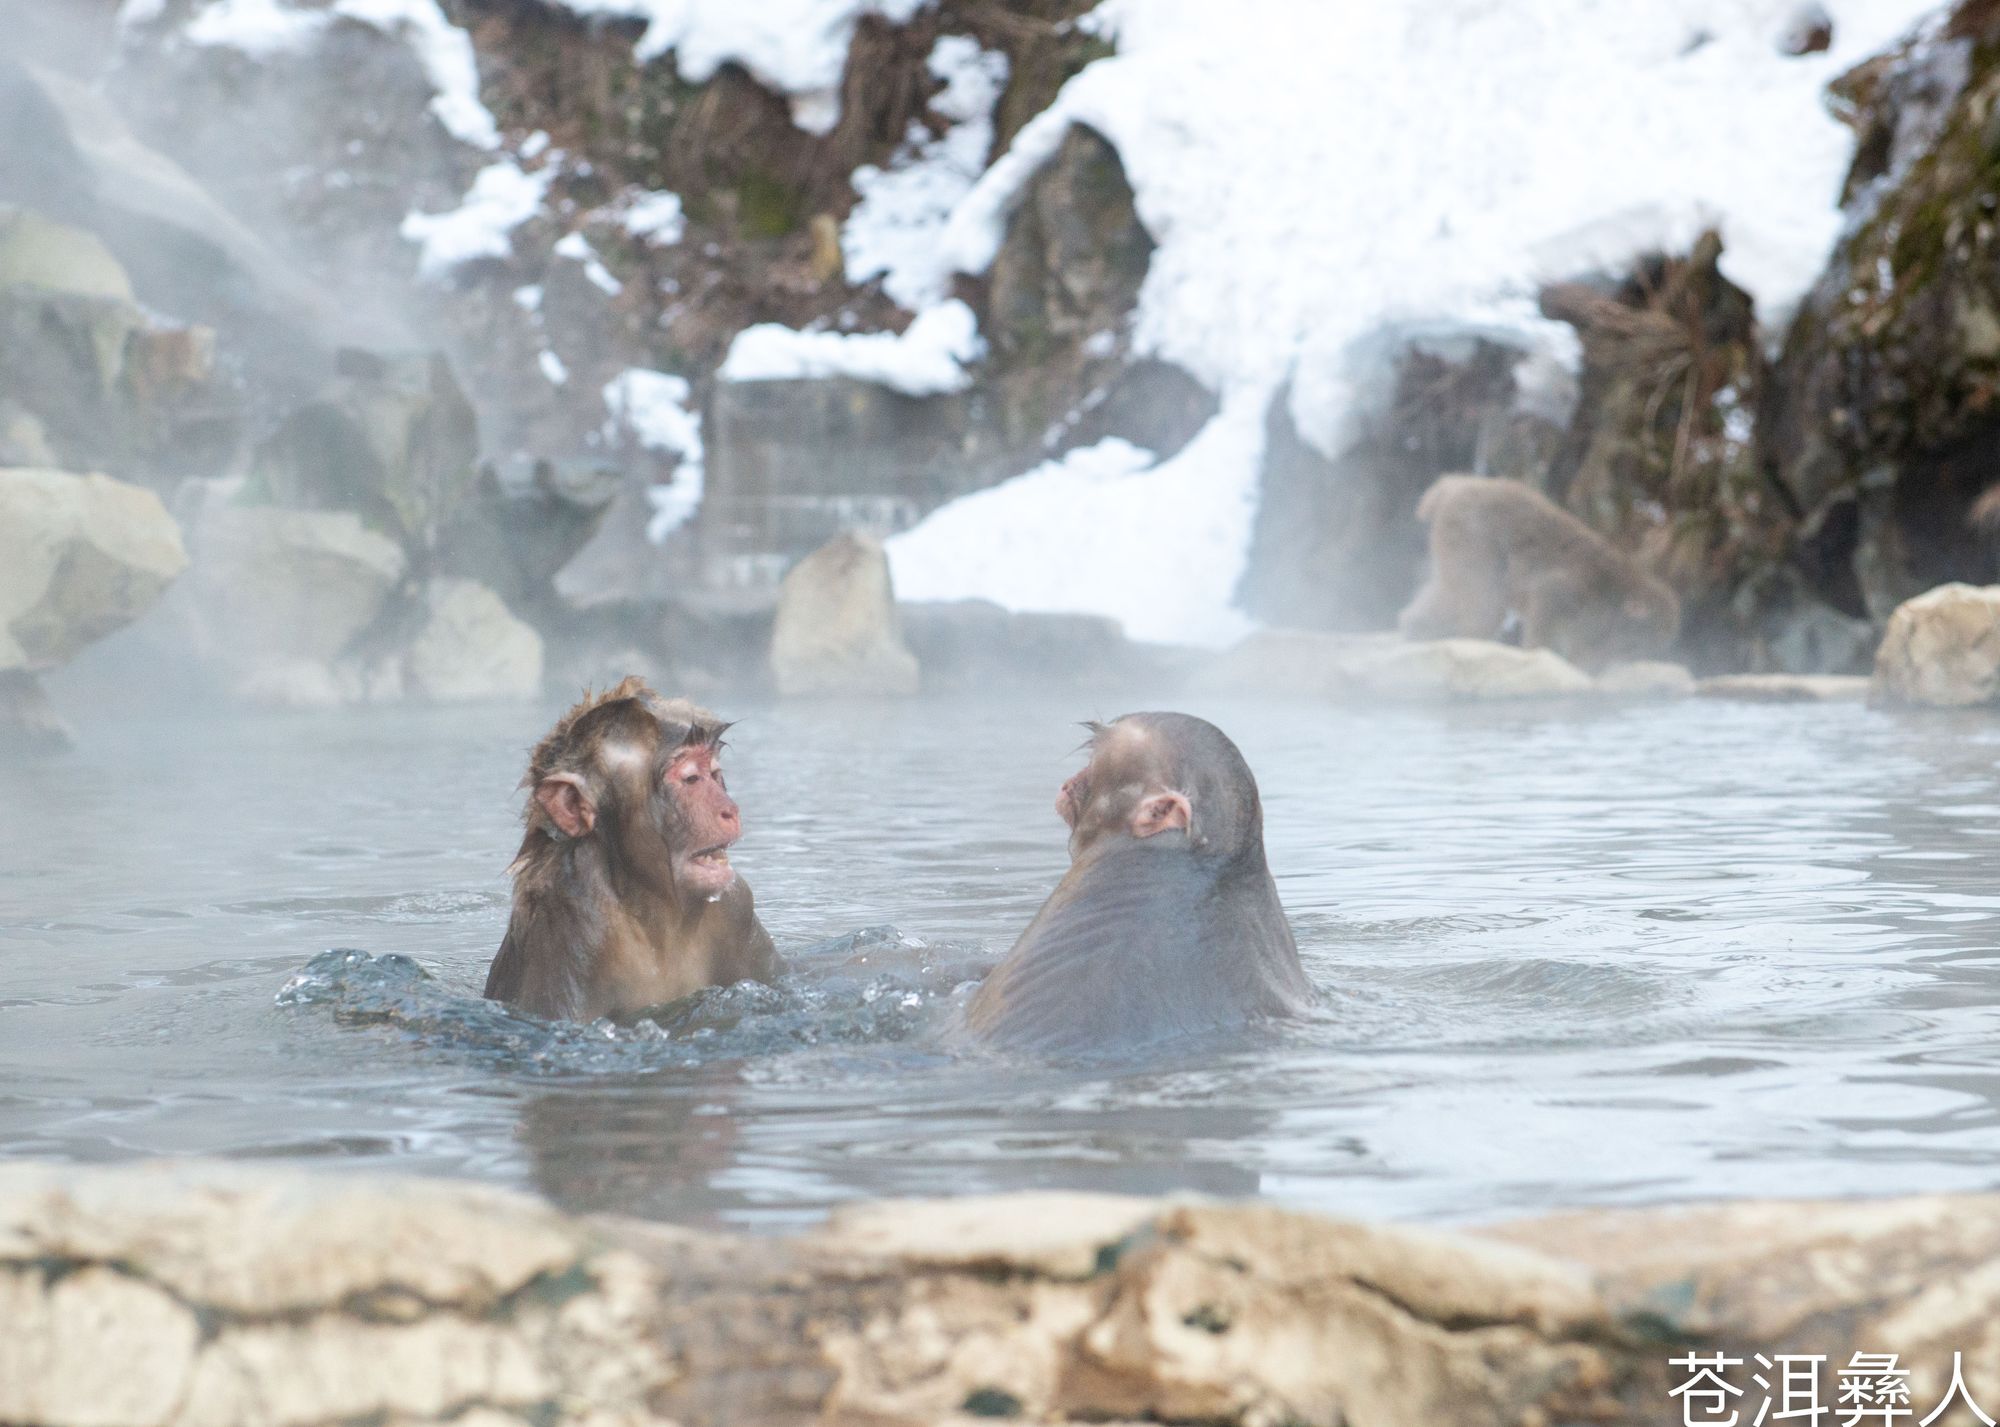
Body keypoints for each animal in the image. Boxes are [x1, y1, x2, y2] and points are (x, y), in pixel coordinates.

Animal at [484, 675, 780, 1015]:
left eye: (715, 774)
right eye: (691, 778)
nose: (730, 810)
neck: (656, 913)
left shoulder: (736, 902)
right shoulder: (577, 927)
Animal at [1400, 475, 1680, 671]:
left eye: (1649, 646)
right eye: (1640, 641)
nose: (1638, 655)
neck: (1616, 597)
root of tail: (1457, 485)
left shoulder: (1594, 622)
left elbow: (1587, 645)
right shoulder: (1576, 590)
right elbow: (1547, 596)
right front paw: (1538, 652)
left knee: (1450, 593)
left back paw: (1414, 628)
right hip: (1470, 537)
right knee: (1485, 603)